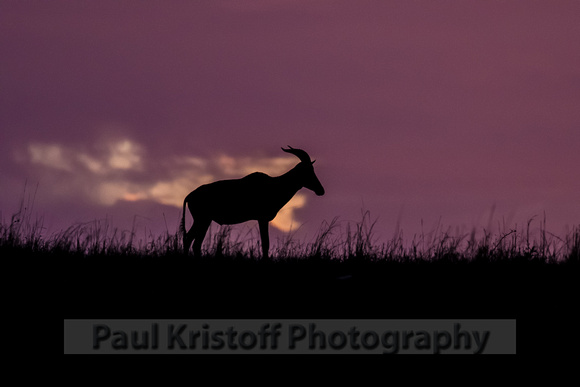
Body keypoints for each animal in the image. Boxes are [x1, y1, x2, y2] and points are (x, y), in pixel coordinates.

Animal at [180, 147, 324, 260]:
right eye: (307, 170)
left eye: (313, 169)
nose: (321, 190)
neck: (274, 185)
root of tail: (190, 195)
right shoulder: (262, 219)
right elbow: (265, 243)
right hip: (202, 220)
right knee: (191, 240)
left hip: (204, 221)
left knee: (192, 241)